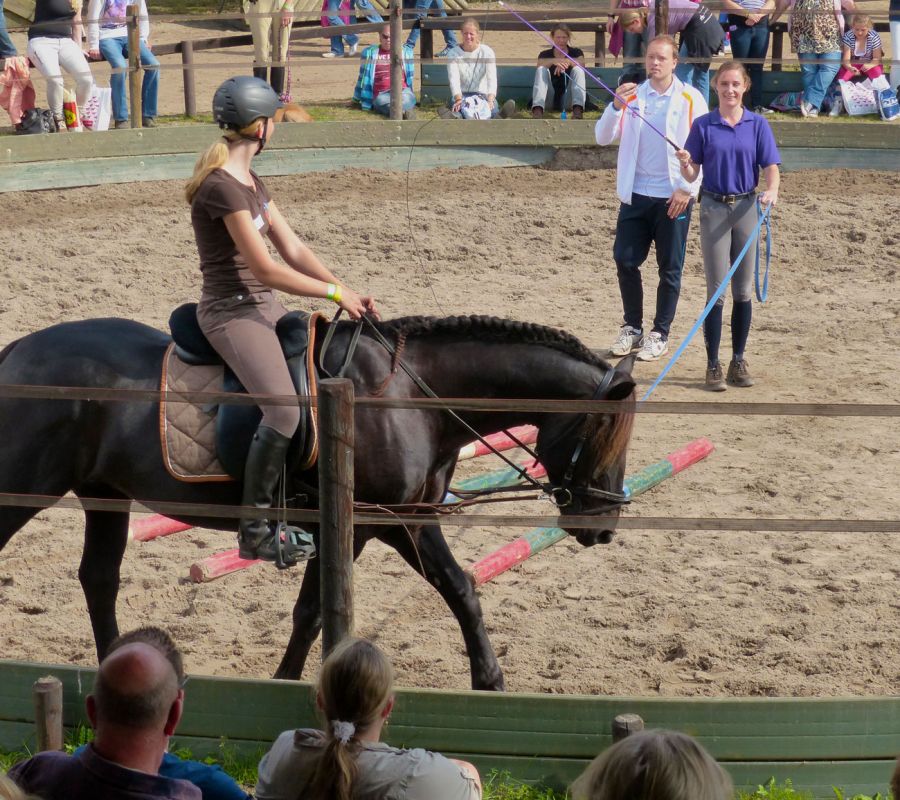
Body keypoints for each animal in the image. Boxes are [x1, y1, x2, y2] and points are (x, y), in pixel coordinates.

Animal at [0, 313, 635, 690]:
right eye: (601, 437)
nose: (603, 526)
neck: (410, 398)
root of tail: (18, 352)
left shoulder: (411, 518)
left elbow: (461, 590)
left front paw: (490, 683)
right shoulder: (369, 524)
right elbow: (312, 611)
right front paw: (285, 683)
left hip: (104, 494)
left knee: (98, 579)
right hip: (27, 488)